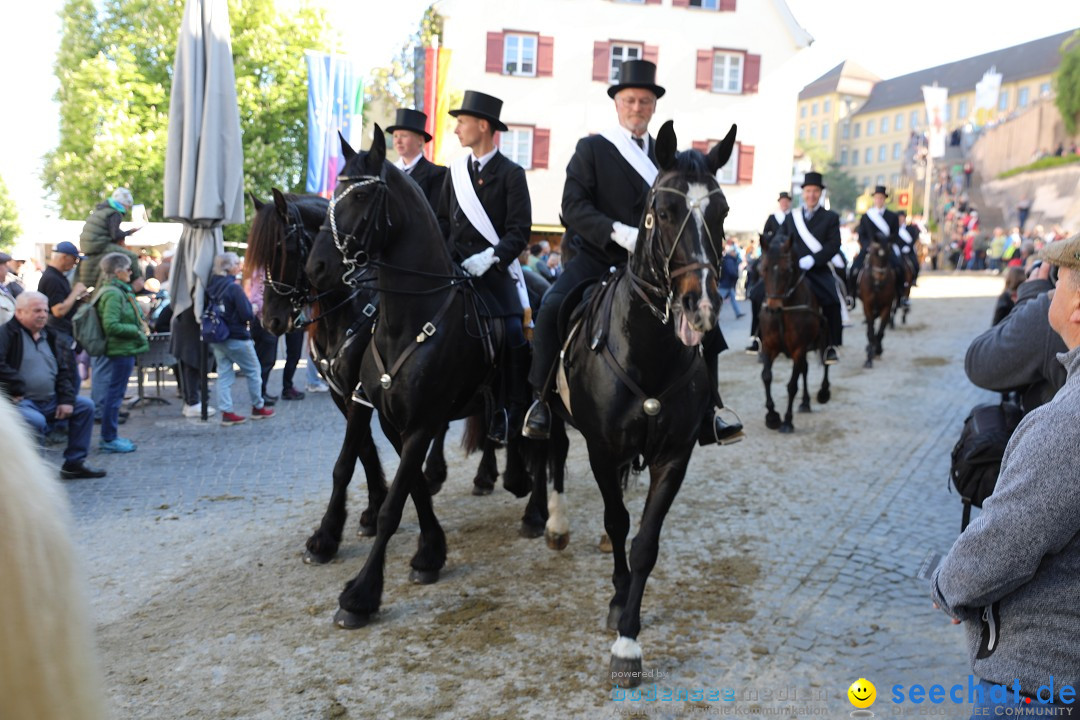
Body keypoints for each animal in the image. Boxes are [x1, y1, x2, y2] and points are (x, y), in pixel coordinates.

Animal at [302, 126, 544, 626]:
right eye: (334, 193)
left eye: (364, 194)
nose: (315, 268)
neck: (405, 320)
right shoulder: (384, 415)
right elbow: (399, 484)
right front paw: (429, 552)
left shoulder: (421, 422)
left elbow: (394, 504)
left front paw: (360, 595)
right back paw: (514, 481)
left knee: (552, 447)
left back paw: (536, 514)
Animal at [537, 122, 734, 686]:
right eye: (662, 211)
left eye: (722, 211)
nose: (702, 305)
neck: (648, 350)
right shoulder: (602, 449)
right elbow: (617, 521)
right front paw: (618, 606)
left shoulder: (675, 455)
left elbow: (644, 540)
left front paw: (629, 634)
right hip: (556, 419)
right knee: (553, 451)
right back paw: (556, 524)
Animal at [756, 231, 829, 433]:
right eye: (763, 268)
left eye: (787, 270)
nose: (772, 309)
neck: (784, 311)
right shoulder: (769, 347)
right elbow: (766, 377)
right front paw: (772, 416)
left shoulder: (799, 349)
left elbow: (791, 386)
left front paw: (787, 421)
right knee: (805, 369)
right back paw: (805, 402)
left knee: (826, 362)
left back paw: (823, 392)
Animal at [855, 239, 898, 369]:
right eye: (873, 253)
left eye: (889, 252)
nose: (879, 279)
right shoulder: (867, 306)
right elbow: (871, 331)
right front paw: (869, 359)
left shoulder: (887, 307)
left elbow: (880, 332)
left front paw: (877, 350)